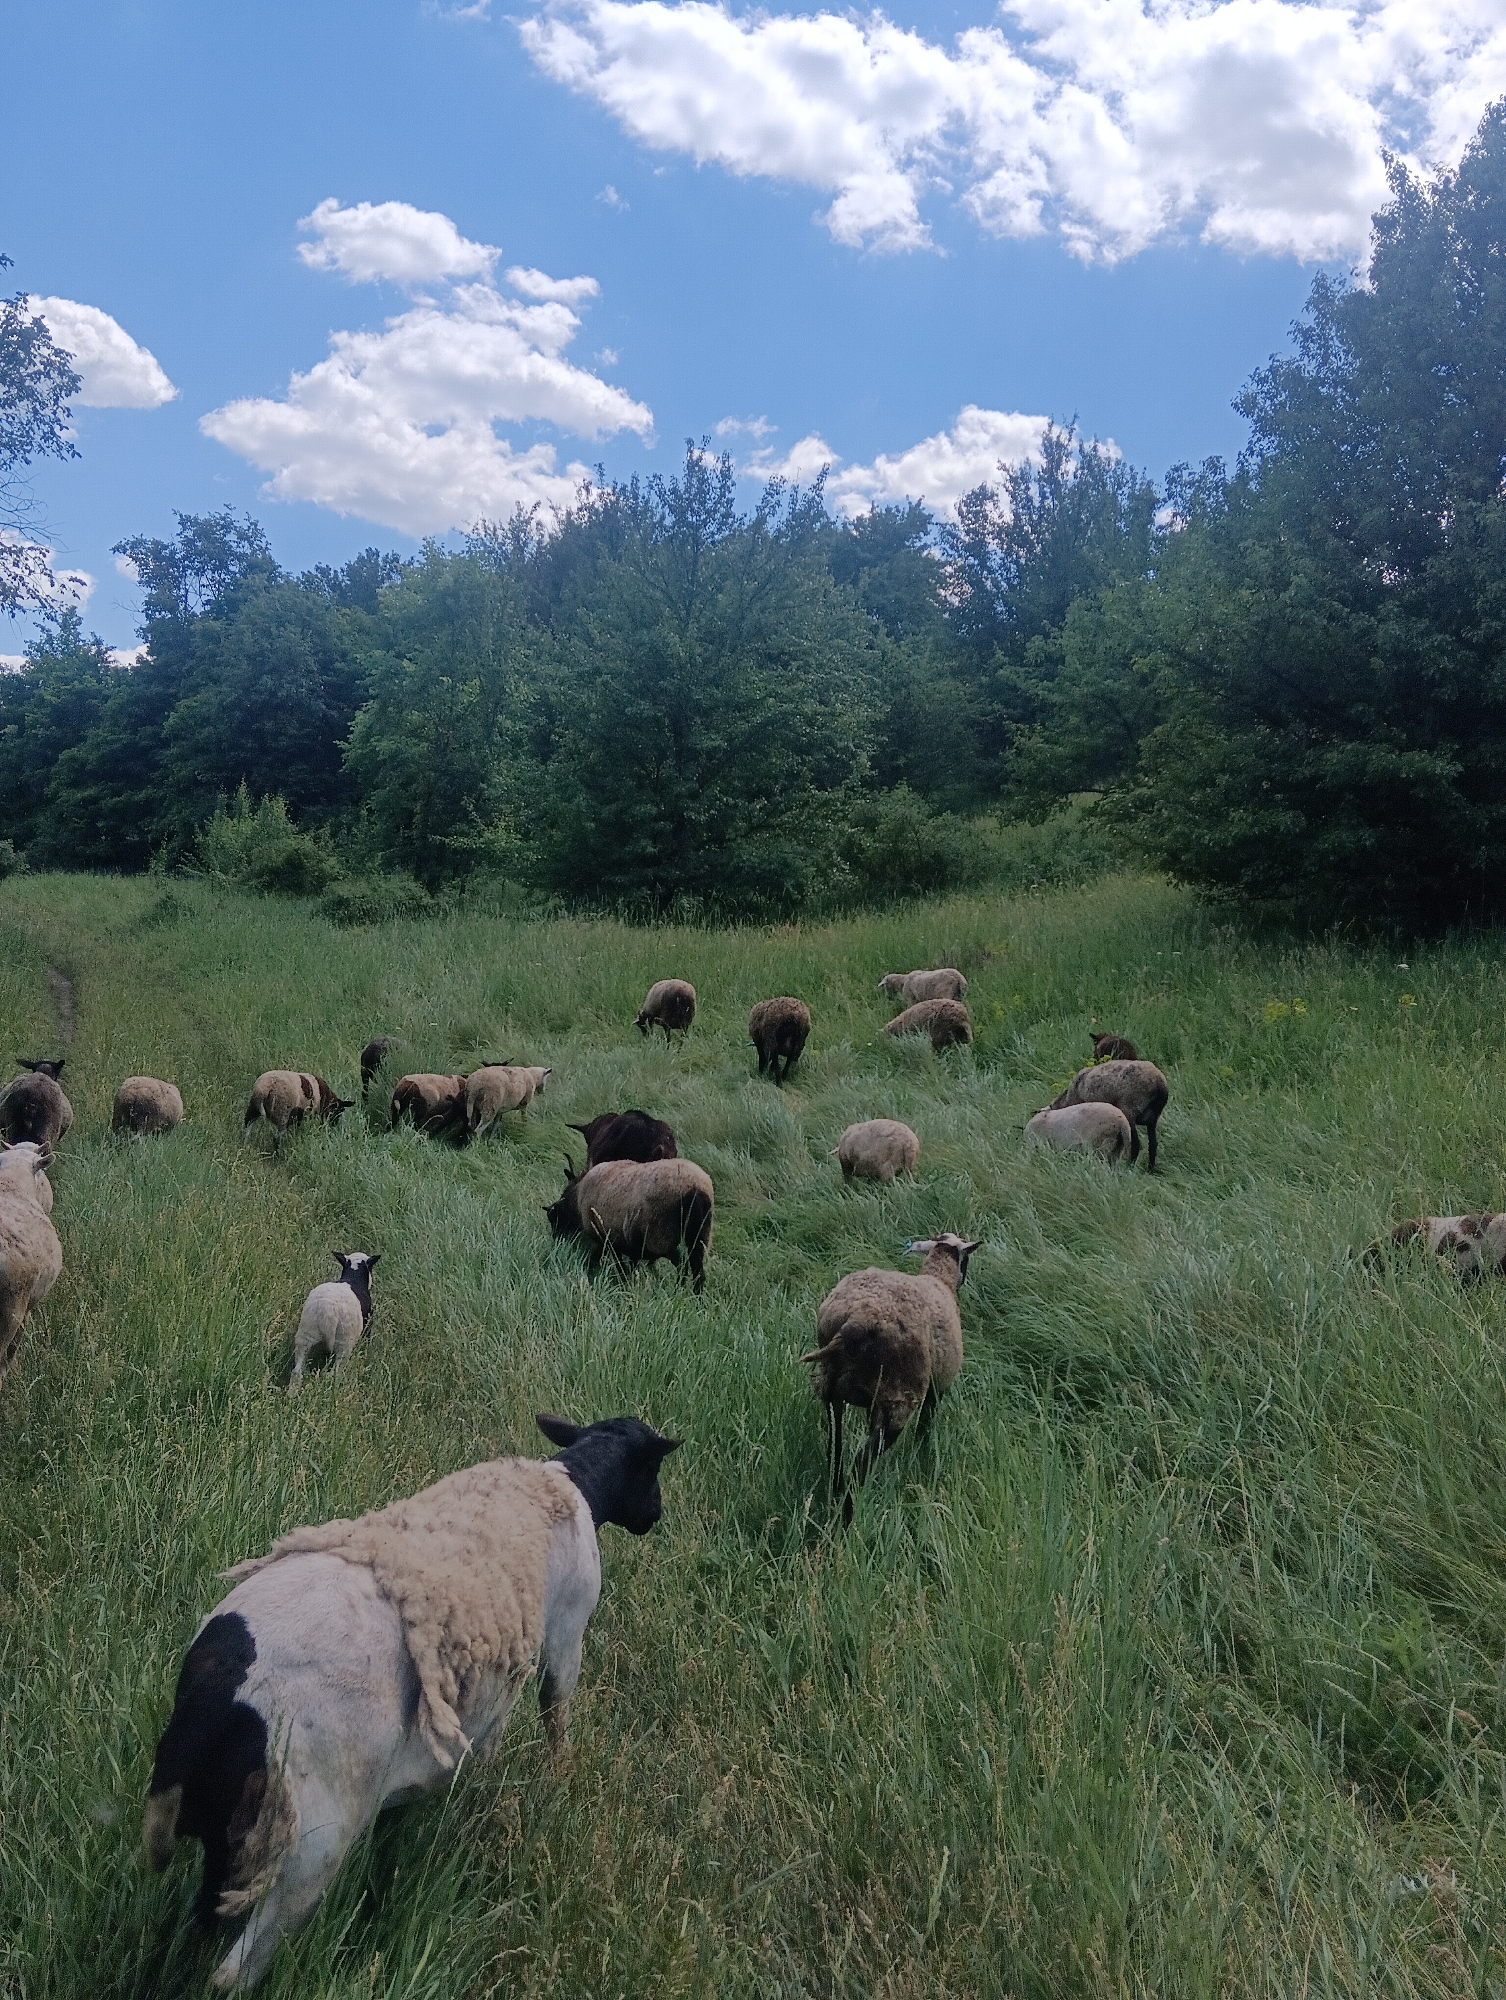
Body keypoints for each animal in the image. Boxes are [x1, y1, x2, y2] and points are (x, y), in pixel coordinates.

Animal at [141, 1412, 680, 1991]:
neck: (571, 1480)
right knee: (232, 1972)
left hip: (224, 1833)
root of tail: (219, 1699)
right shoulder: (563, 1636)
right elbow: (552, 1714)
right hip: (312, 1841)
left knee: (193, 1934)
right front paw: (553, 1783)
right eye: (654, 1469)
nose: (655, 1516)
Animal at [289, 1252, 380, 1393]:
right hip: (344, 1342)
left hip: (306, 1334)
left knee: (297, 1372)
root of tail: (328, 1310)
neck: (353, 1277)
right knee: (335, 1373)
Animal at [546, 1156, 714, 1291]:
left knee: (682, 1264)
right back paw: (696, 1298)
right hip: (700, 1234)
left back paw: (678, 1290)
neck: (576, 1196)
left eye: (554, 1218)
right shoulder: (629, 1246)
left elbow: (614, 1264)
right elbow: (630, 1265)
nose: (556, 1238)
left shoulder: (607, 1239)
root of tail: (695, 1188)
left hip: (660, 1236)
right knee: (698, 1269)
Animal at [802, 1233, 978, 1515]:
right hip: (899, 1396)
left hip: (832, 1389)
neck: (939, 1278)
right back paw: (849, 1510)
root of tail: (856, 1321)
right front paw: (920, 1458)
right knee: (861, 1461)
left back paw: (835, 1494)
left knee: (835, 1449)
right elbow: (924, 1427)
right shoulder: (938, 1388)